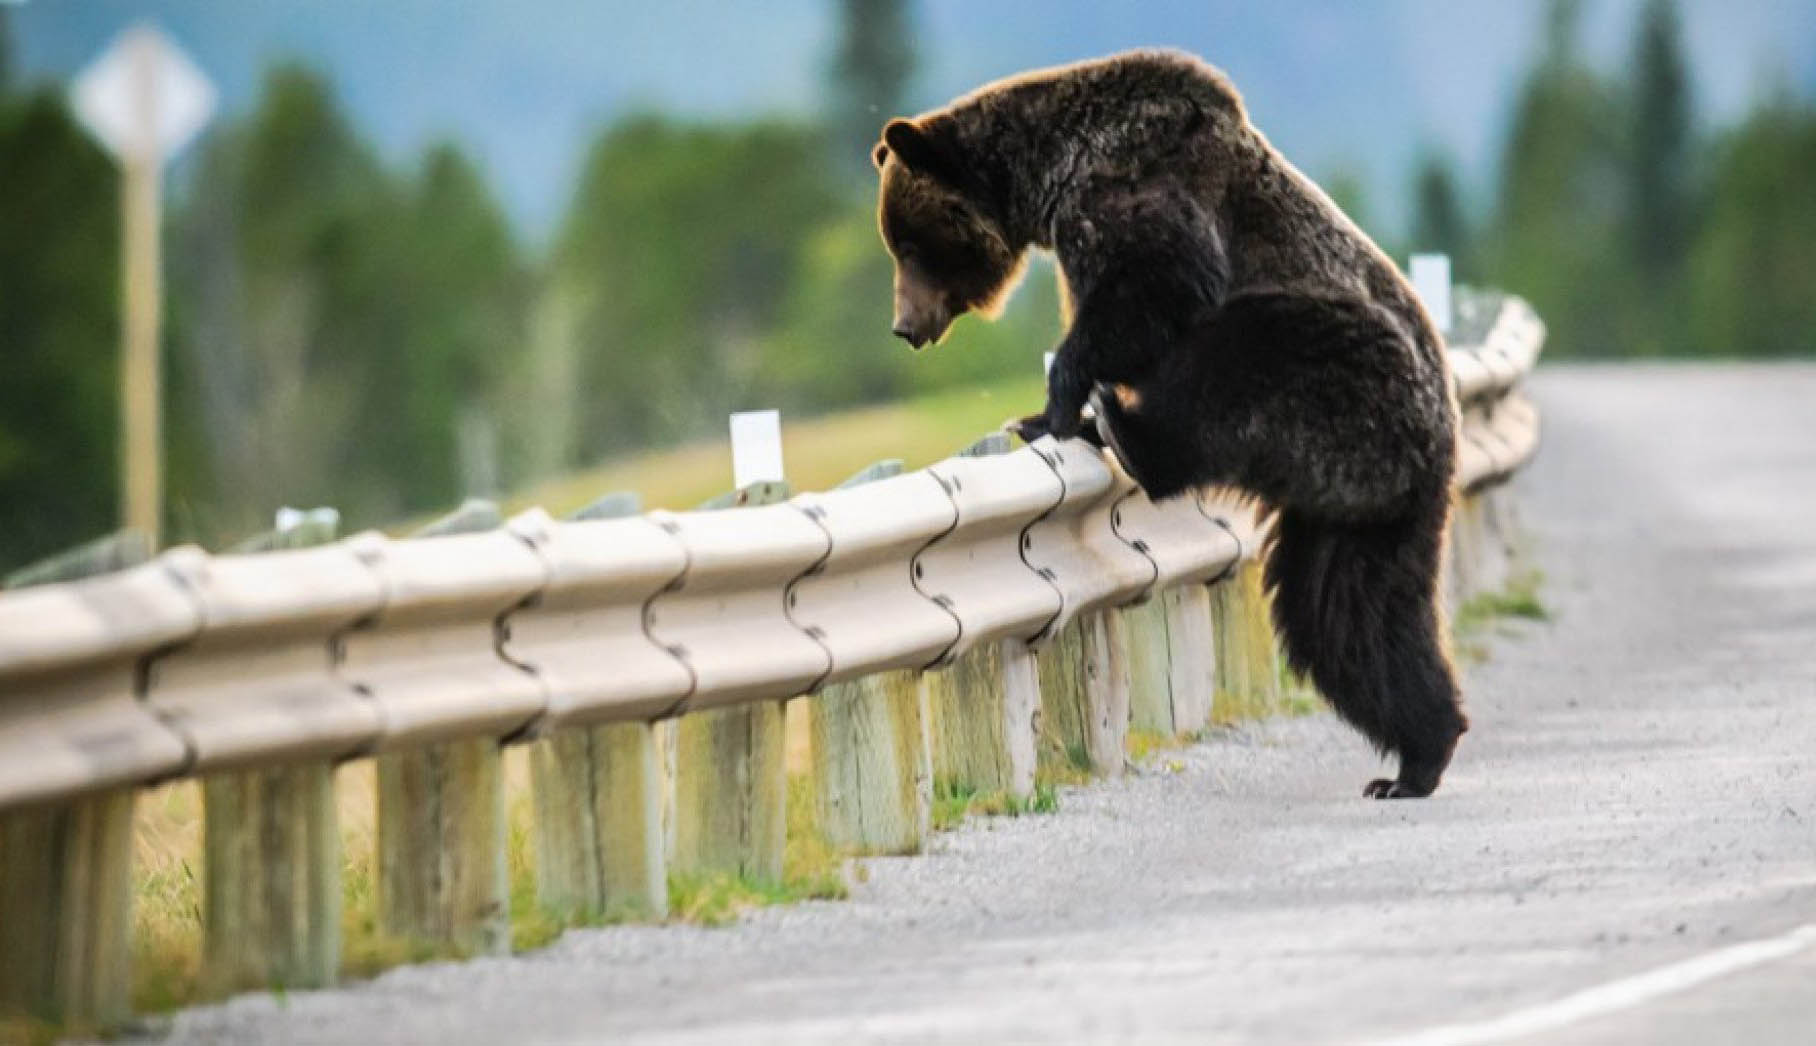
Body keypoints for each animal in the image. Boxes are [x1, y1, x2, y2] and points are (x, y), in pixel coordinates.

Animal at [871, 46, 1467, 799]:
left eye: (911, 245)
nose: (905, 325)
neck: (1047, 175)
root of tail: (1442, 439)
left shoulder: (1131, 190)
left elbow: (1155, 286)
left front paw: (1049, 409)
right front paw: (1045, 412)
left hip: (1347, 378)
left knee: (1236, 355)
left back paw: (1128, 433)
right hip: (1360, 510)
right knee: (1350, 613)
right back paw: (1417, 758)